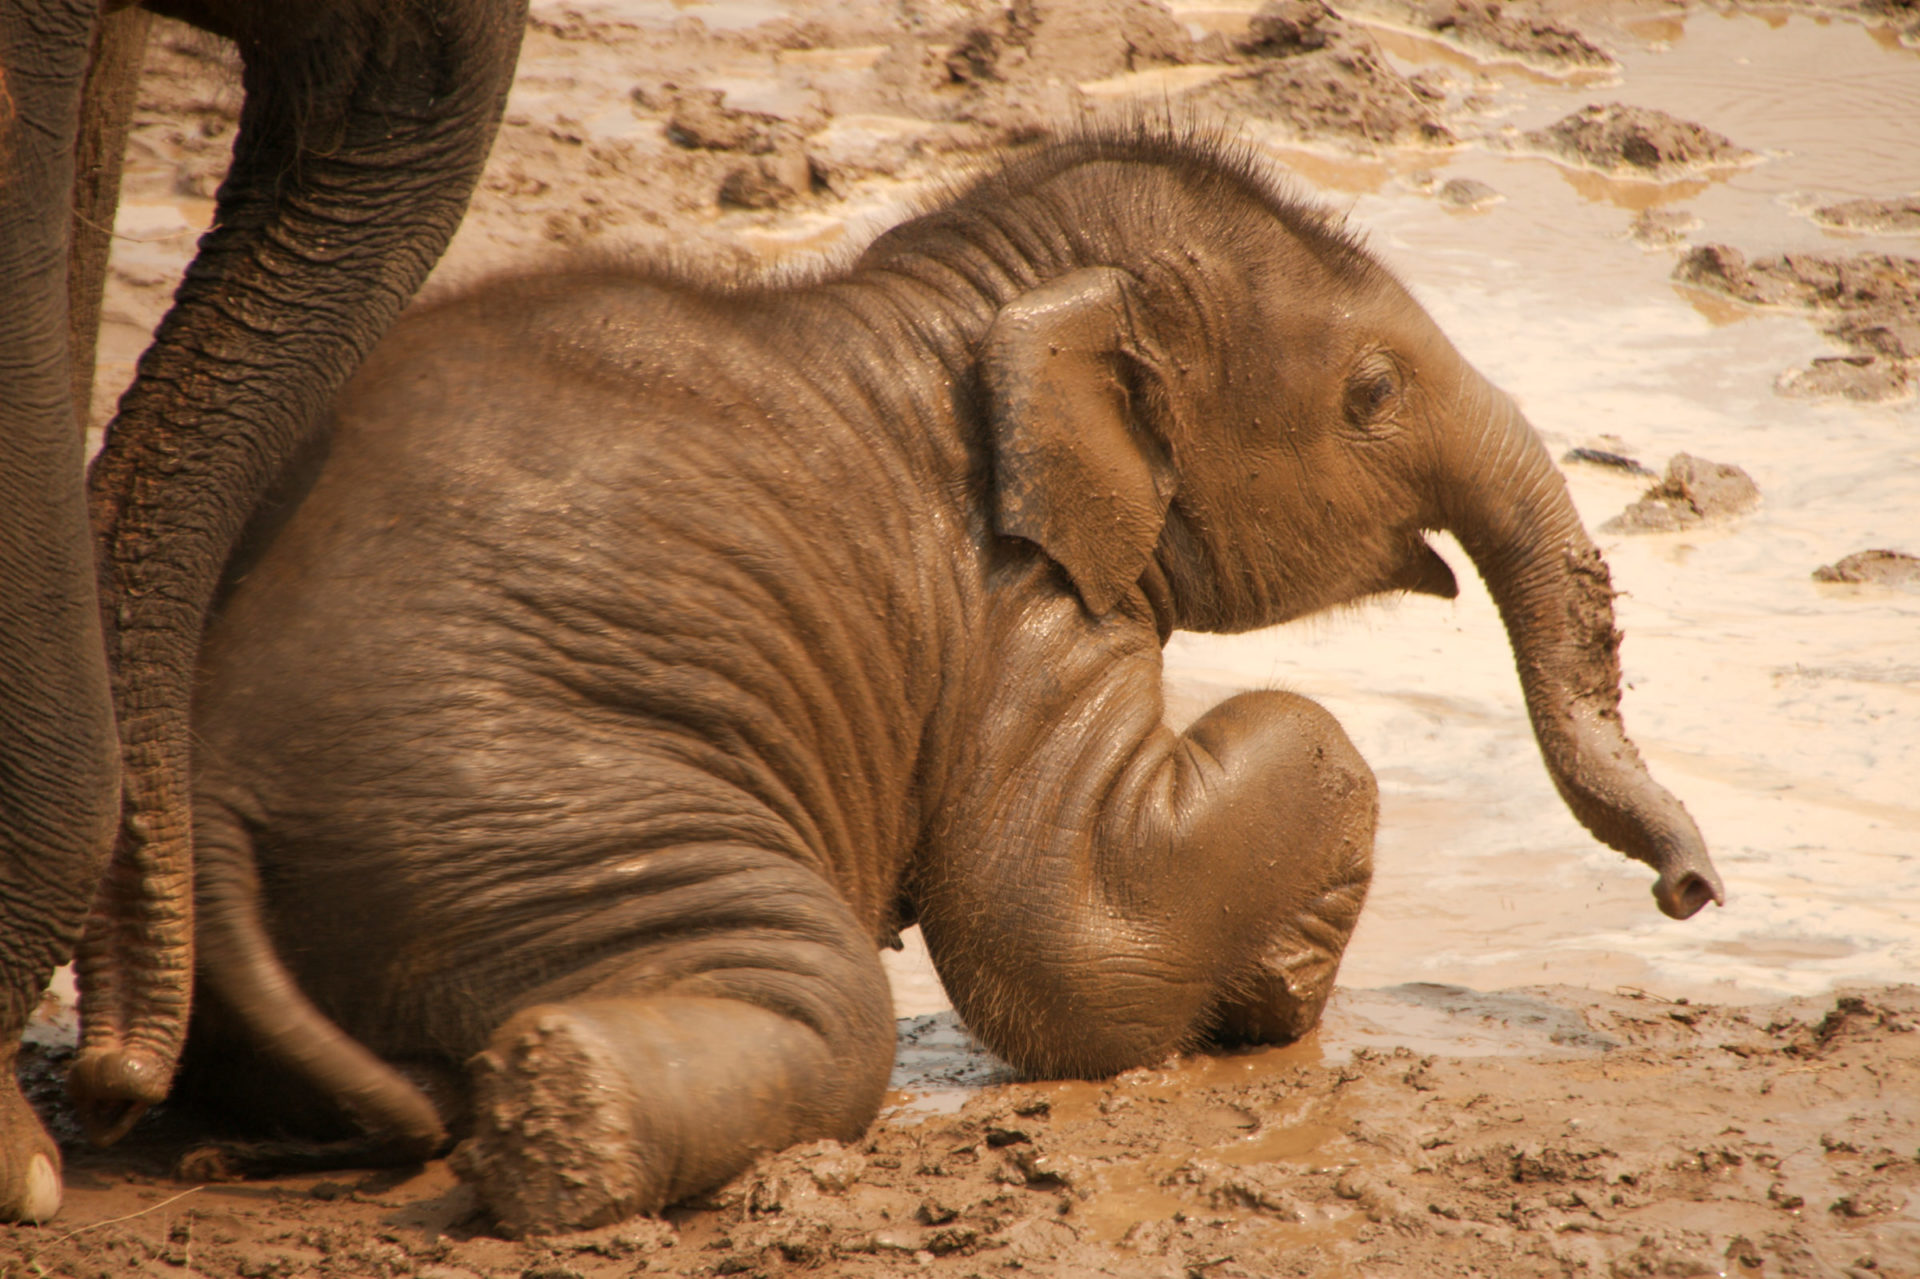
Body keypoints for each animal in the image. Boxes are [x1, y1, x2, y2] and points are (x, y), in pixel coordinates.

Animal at [180, 131, 1728, 1236]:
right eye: (1372, 397)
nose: (1692, 891)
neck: (961, 292)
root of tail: (214, 777)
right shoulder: (1009, 595)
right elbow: (1070, 925)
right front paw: (1279, 982)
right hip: (535, 809)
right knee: (825, 999)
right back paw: (550, 1112)